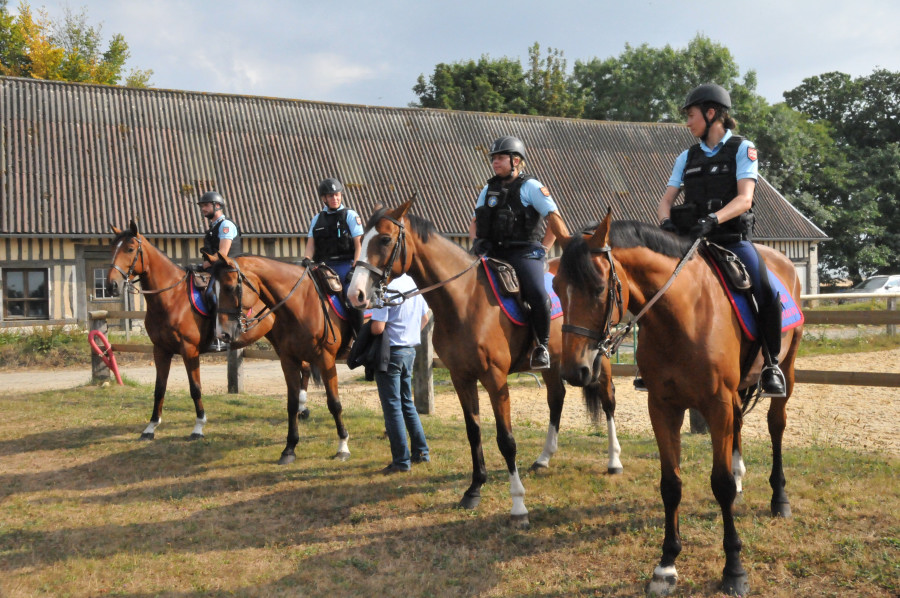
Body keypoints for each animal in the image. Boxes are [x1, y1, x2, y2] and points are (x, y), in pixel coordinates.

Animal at [107, 223, 312, 442]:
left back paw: (302, 407)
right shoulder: (160, 350)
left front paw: (198, 427)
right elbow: (159, 388)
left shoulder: (189, 350)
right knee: (304, 367)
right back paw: (301, 407)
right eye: (112, 248)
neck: (171, 298)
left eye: (129, 249)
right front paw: (151, 427)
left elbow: (195, 389)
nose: (112, 286)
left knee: (306, 367)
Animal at [213, 255, 354, 466]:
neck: (300, 305)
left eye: (229, 287)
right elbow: (292, 404)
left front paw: (343, 446)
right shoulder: (288, 360)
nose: (222, 334)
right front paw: (289, 448)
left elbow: (334, 403)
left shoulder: (326, 359)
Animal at [344, 203, 620, 528]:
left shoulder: (495, 380)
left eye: (385, 239)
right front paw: (474, 489)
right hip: (554, 364)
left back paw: (614, 461)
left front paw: (518, 505)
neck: (464, 300)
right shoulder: (461, 378)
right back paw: (543, 458)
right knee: (556, 398)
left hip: (598, 357)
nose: (355, 294)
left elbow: (506, 440)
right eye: (362, 239)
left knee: (608, 399)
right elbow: (473, 432)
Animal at [552, 213, 804, 596]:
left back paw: (780, 499)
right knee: (739, 427)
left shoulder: (716, 404)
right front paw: (666, 565)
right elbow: (670, 484)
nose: (575, 370)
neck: (682, 314)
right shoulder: (663, 406)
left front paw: (734, 569)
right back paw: (742, 479)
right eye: (555, 286)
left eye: (597, 287)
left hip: (785, 368)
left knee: (776, 425)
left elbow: (719, 484)